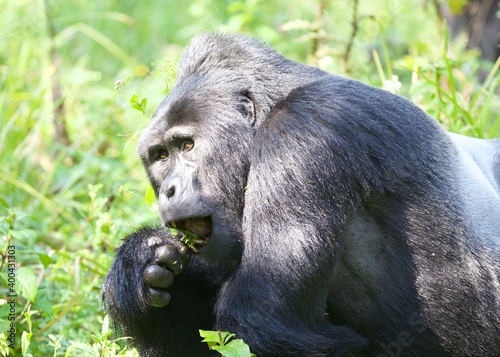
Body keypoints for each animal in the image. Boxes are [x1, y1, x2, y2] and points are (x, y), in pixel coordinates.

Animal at [101, 33, 500, 356]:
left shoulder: (301, 132)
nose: (168, 190)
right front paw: (138, 267)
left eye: (187, 145)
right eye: (160, 156)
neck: (276, 100)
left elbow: (262, 321)